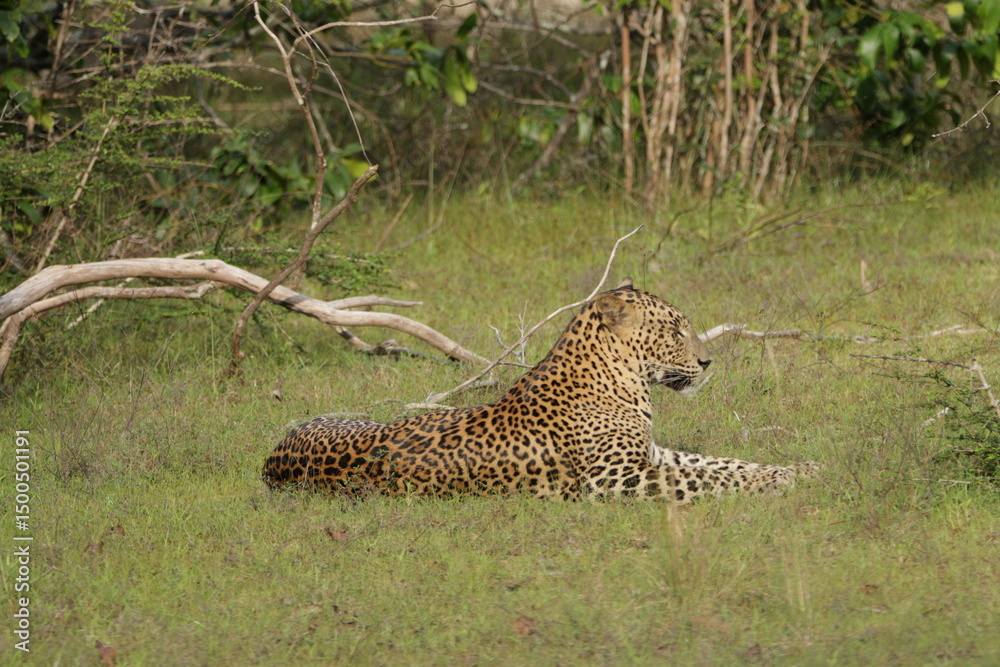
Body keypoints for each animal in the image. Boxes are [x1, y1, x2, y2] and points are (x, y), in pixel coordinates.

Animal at [262, 281, 819, 503]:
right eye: (674, 329)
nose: (707, 363)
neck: (624, 382)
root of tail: (274, 455)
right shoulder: (617, 477)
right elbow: (708, 480)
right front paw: (780, 483)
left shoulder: (651, 455)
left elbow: (721, 463)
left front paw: (799, 468)